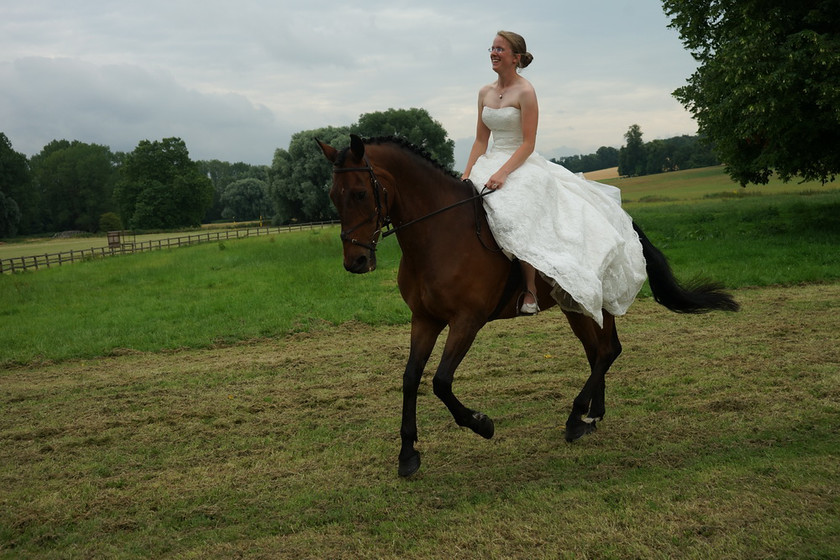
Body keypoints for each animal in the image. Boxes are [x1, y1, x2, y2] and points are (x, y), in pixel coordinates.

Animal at [318, 133, 740, 474]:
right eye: (333, 197)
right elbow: (409, 379)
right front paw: (407, 455)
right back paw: (592, 415)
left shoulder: (467, 321)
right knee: (601, 351)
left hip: (590, 303)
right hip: (578, 305)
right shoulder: (424, 319)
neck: (438, 234)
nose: (355, 262)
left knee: (607, 351)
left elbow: (440, 381)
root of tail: (619, 217)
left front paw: (482, 424)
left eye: (360, 193)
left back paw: (575, 419)